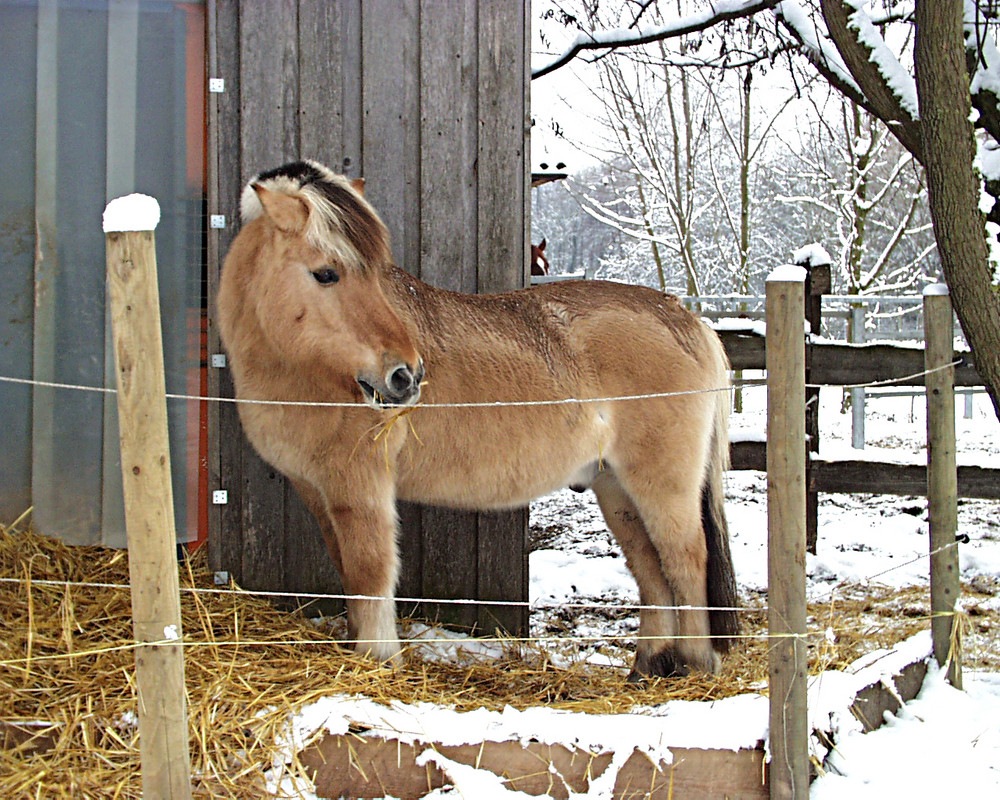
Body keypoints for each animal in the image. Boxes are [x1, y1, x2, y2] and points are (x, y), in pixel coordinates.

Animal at [215, 159, 740, 680]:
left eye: (377, 275)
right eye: (326, 274)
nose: (406, 376)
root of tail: (686, 319)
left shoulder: (361, 486)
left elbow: (370, 572)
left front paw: (378, 660)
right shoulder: (317, 490)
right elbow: (348, 572)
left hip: (662, 486)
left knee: (687, 561)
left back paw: (698, 664)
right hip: (616, 487)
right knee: (650, 567)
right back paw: (648, 665)